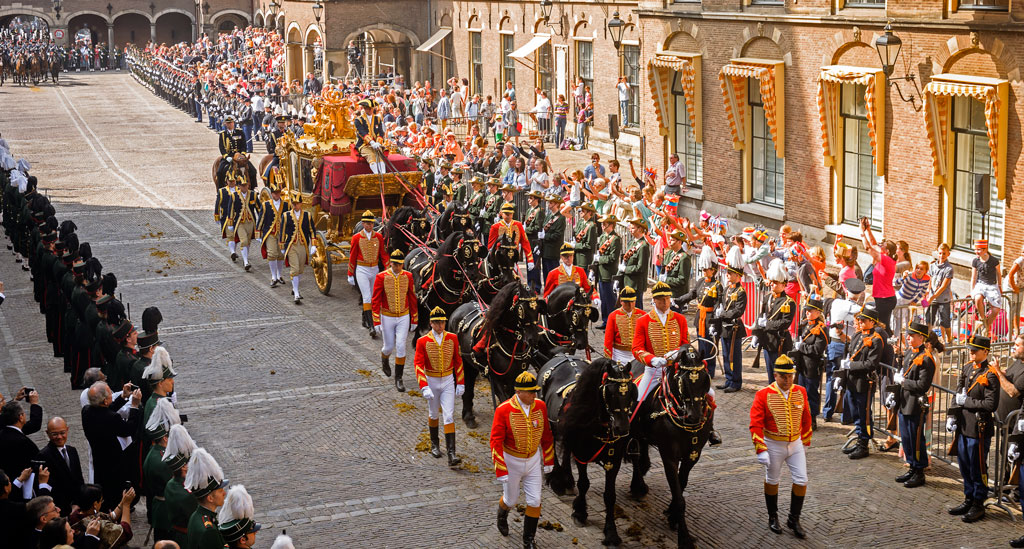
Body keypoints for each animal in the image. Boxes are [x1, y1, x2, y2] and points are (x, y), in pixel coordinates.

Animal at [450, 280, 544, 426]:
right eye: (522, 309)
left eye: (537, 309)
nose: (533, 338)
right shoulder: (494, 377)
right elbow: (505, 399)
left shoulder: (515, 376)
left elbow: (513, 398)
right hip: (463, 362)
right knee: (467, 384)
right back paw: (468, 415)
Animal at [540, 354, 634, 544]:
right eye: (609, 392)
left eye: (629, 391)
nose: (622, 428)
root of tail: (562, 355)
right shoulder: (581, 454)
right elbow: (584, 484)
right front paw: (580, 512)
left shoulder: (614, 461)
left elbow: (610, 495)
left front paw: (611, 532)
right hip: (551, 427)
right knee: (553, 447)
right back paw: (557, 480)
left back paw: (567, 479)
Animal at [622, 346, 712, 544]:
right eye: (682, 381)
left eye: (705, 380)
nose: (694, 417)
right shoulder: (669, 456)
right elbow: (679, 496)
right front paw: (684, 537)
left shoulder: (693, 455)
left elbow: (681, 484)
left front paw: (672, 515)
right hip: (633, 432)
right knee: (635, 455)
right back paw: (638, 486)